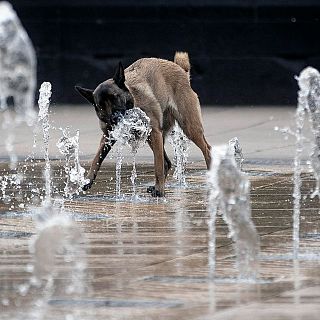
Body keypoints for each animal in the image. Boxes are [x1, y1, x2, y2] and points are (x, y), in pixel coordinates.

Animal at [74, 52, 210, 198]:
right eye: (100, 105)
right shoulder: (108, 137)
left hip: (188, 128)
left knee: (206, 150)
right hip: (157, 137)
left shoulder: (154, 132)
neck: (133, 102)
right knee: (167, 162)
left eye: (115, 97)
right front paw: (87, 180)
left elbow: (157, 166)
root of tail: (181, 70)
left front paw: (160, 190)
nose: (115, 118)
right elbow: (96, 159)